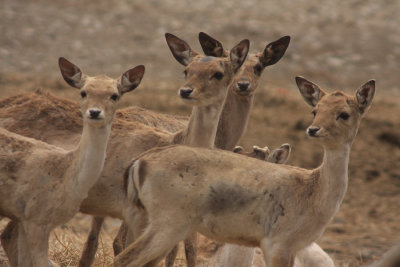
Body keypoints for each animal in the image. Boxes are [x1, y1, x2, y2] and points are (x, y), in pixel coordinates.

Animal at [115, 76, 376, 266]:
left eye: (344, 113)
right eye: (315, 110)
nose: (314, 129)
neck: (313, 194)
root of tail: (139, 163)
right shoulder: (279, 243)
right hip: (168, 222)